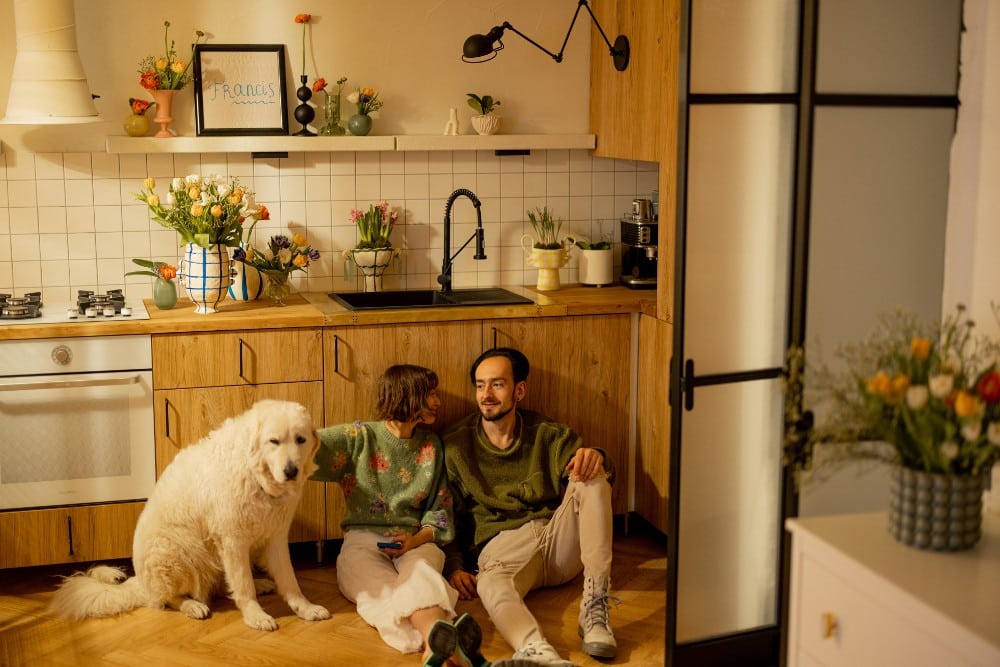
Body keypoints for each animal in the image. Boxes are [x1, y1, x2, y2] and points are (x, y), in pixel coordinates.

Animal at [50, 402, 330, 632]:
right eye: (274, 441)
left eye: (300, 439)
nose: (291, 471)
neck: (256, 477)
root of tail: (142, 583)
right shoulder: (233, 542)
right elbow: (243, 586)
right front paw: (255, 616)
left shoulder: (276, 538)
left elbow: (289, 581)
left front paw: (305, 608)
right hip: (177, 553)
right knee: (168, 599)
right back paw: (192, 606)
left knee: (221, 586)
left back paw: (260, 583)